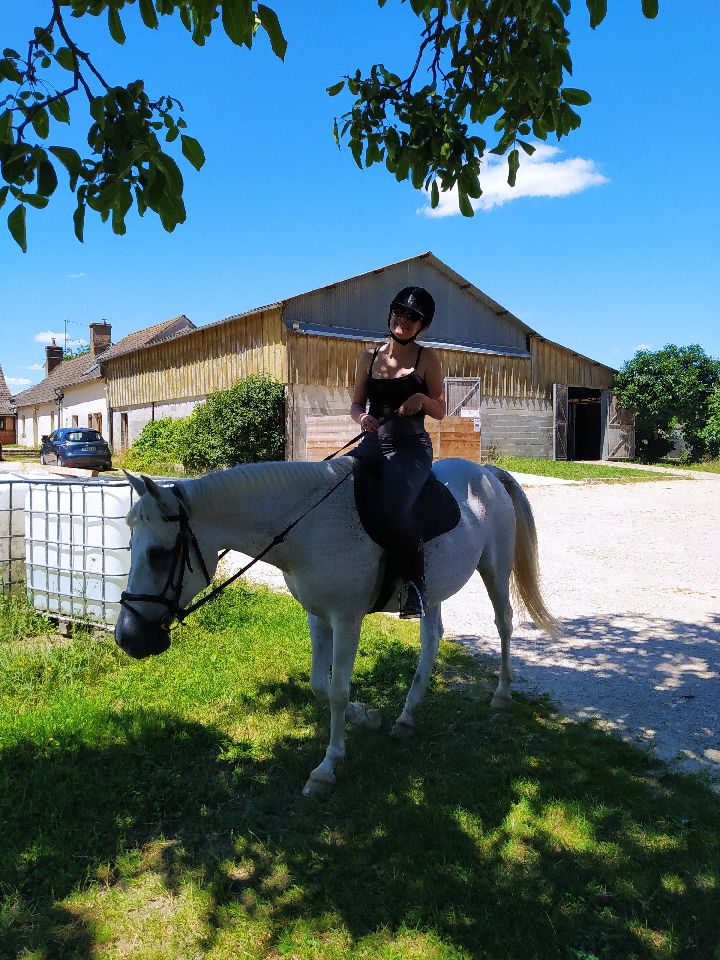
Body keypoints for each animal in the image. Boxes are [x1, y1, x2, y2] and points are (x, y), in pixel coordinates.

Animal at [118, 458, 560, 796]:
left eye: (159, 554)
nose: (128, 637)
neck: (308, 527)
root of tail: (486, 472)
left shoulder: (346, 620)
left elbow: (337, 691)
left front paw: (328, 767)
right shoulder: (318, 616)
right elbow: (320, 684)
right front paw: (368, 717)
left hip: (494, 568)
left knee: (504, 623)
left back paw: (502, 694)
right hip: (431, 592)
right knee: (431, 639)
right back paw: (406, 717)